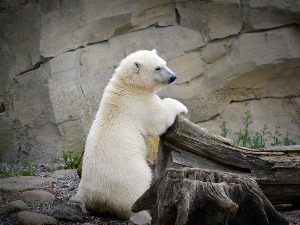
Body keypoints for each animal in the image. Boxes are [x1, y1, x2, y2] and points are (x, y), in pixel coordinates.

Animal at [71, 49, 188, 220]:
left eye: (165, 63)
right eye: (157, 68)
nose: (173, 77)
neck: (128, 86)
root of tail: (95, 197)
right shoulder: (139, 104)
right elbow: (159, 118)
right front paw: (181, 106)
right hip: (128, 175)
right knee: (137, 190)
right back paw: (145, 215)